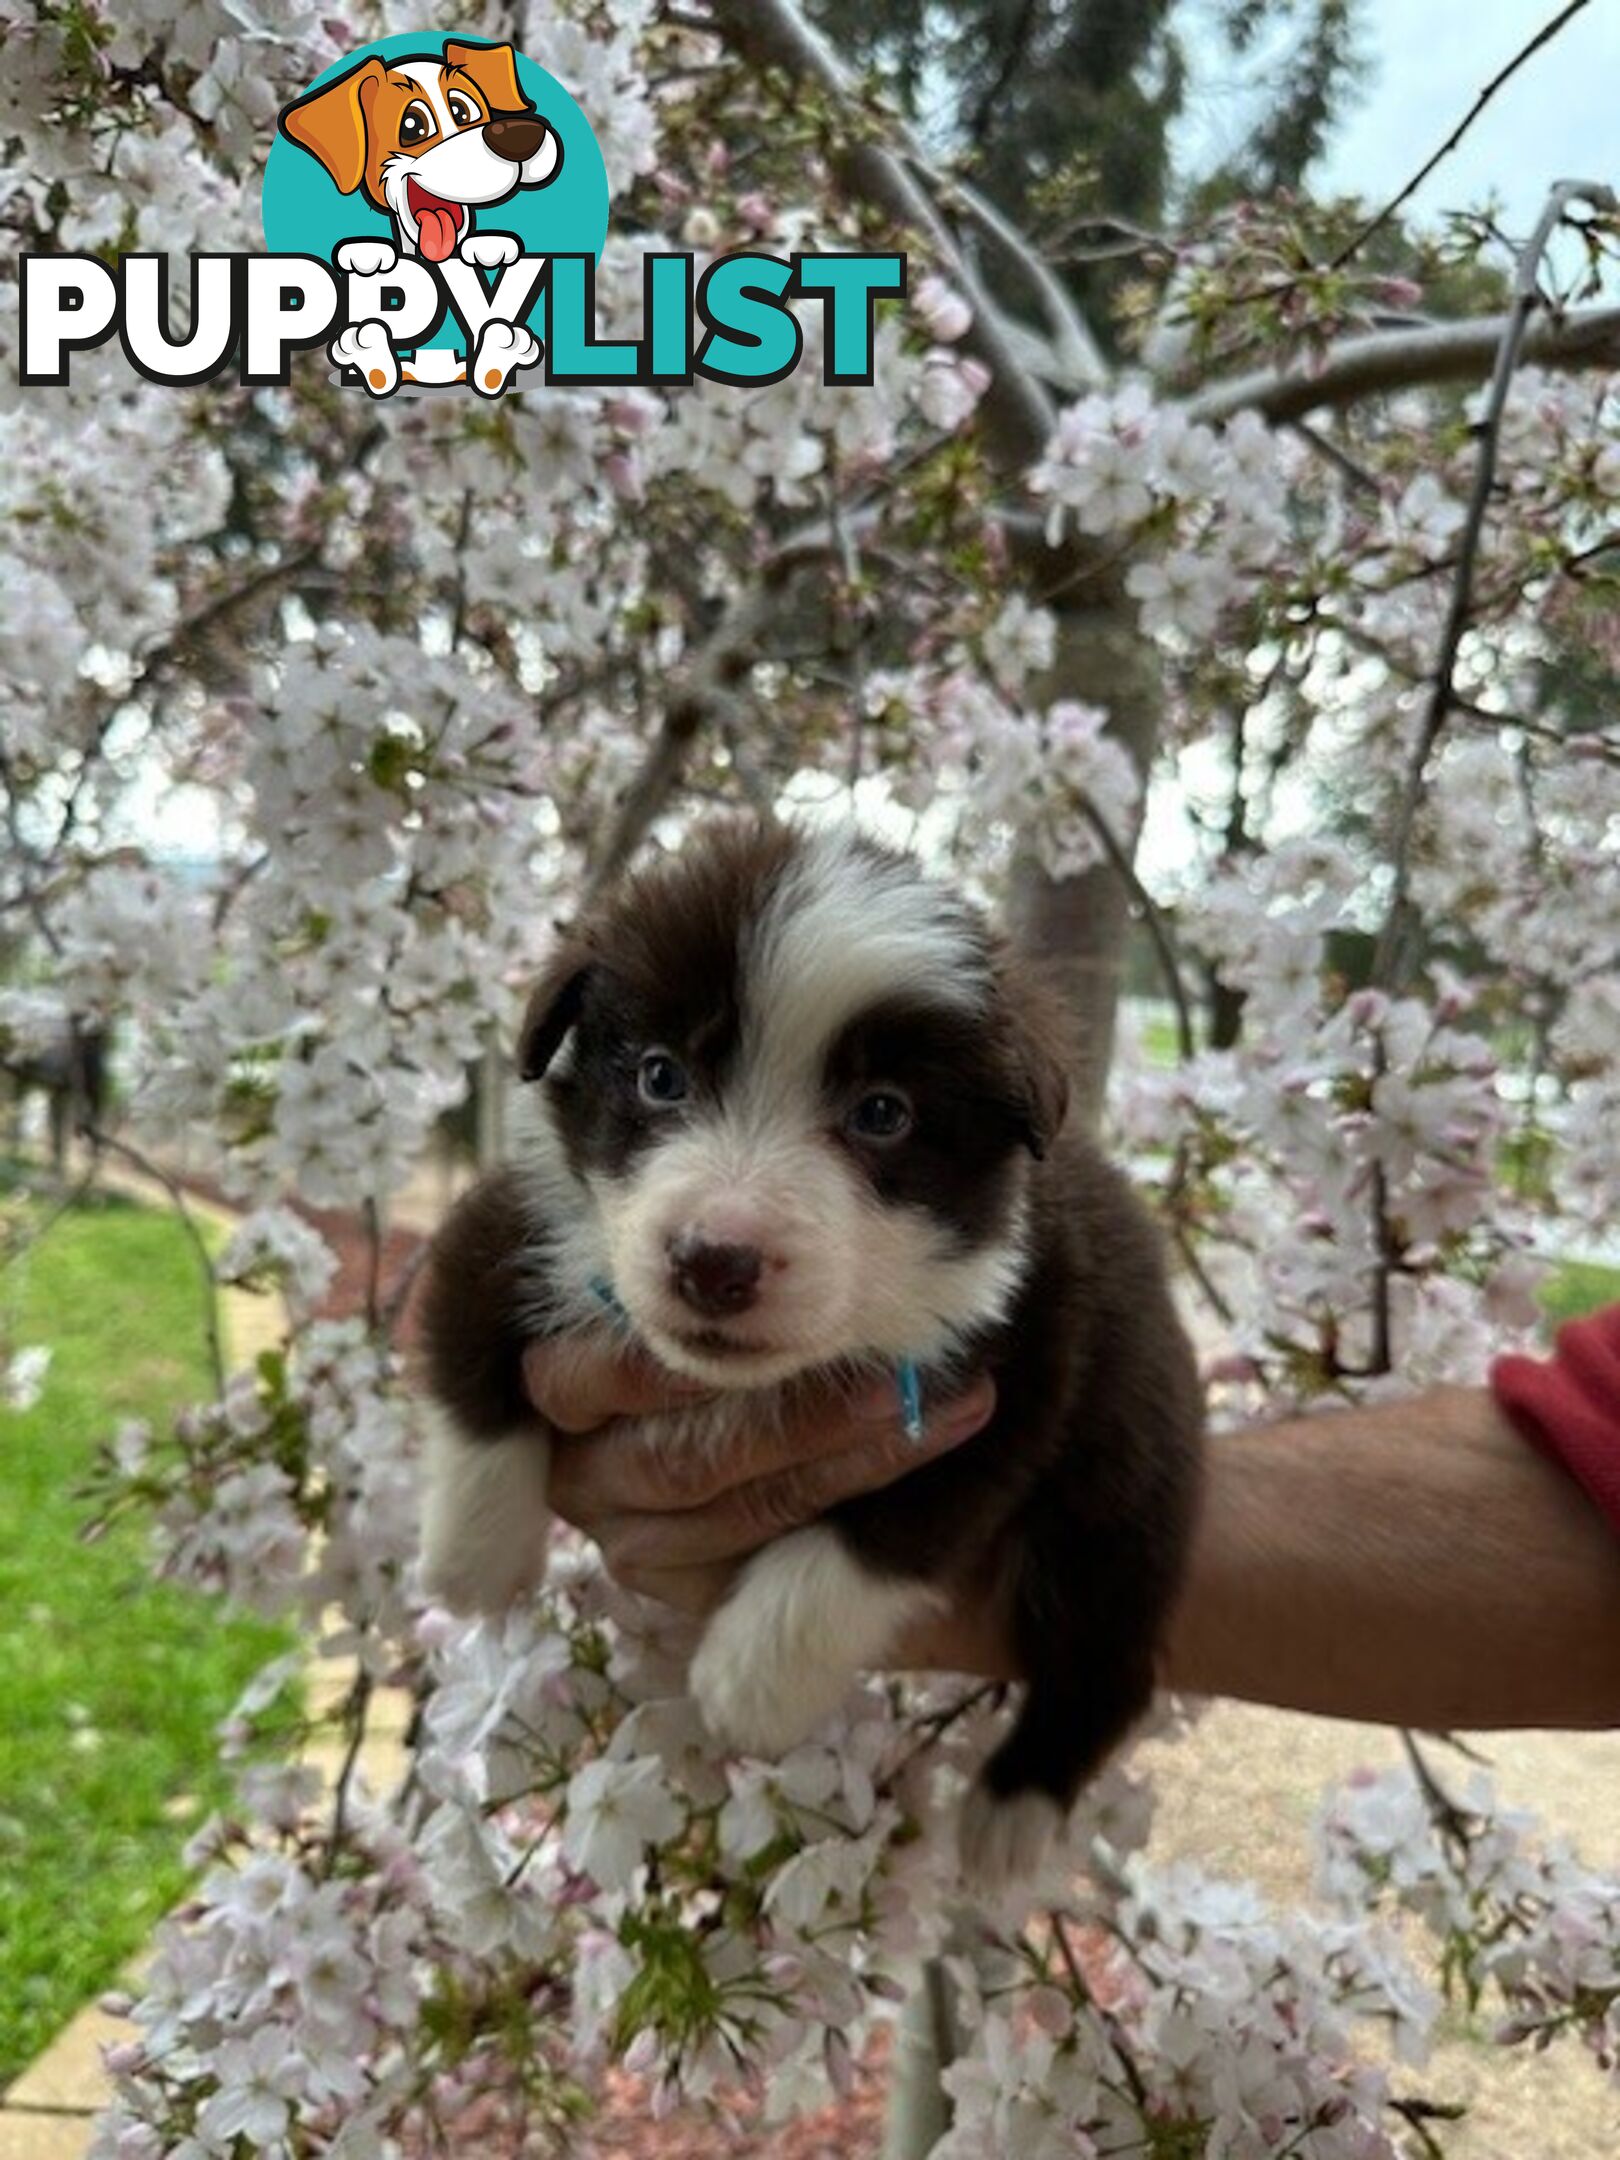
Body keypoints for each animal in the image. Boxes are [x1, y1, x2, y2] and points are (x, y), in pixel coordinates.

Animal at [419, 816, 1209, 1883]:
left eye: (883, 1112)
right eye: (660, 1074)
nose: (715, 1263)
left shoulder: (1029, 1356)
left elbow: (881, 1531)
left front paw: (747, 1680)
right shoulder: (517, 1215)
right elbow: (469, 1356)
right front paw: (474, 1559)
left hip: (1129, 1473)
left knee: (1109, 1641)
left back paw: (1014, 1810)